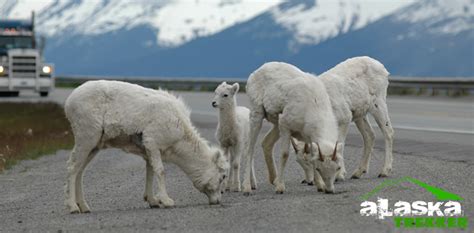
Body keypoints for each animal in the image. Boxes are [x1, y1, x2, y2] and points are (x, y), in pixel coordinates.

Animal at [63, 80, 230, 213]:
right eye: (222, 176)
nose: (217, 201)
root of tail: (69, 101)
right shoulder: (153, 144)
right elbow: (160, 171)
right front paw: (166, 201)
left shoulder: (148, 150)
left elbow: (150, 173)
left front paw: (153, 201)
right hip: (86, 139)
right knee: (72, 168)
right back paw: (73, 207)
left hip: (93, 146)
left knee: (80, 171)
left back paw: (85, 207)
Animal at [243, 61, 342, 194]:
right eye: (319, 169)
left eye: (338, 168)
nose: (329, 190)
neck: (313, 104)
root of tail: (256, 72)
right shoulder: (285, 127)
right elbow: (284, 154)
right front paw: (280, 188)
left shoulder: (309, 138)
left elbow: (312, 155)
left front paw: (319, 186)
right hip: (257, 115)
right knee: (250, 149)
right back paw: (247, 188)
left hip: (276, 125)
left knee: (266, 143)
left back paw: (273, 180)